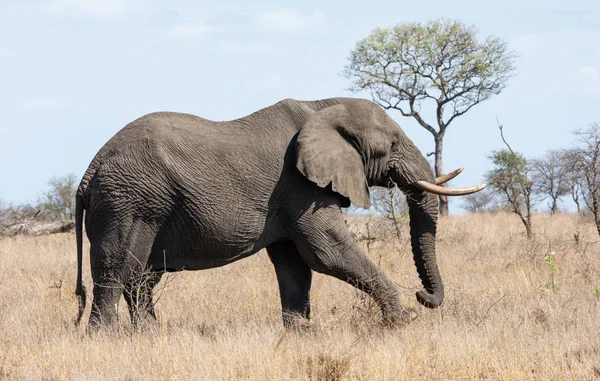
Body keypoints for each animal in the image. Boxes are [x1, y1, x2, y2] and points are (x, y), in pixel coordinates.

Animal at [75, 96, 486, 328]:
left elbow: (295, 265)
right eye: (394, 143)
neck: (322, 107)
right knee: (118, 271)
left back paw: (149, 335)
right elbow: (327, 252)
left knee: (141, 279)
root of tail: (89, 172)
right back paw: (106, 338)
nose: (423, 296)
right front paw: (405, 321)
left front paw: (299, 334)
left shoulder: (290, 197)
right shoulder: (298, 186)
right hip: (129, 203)